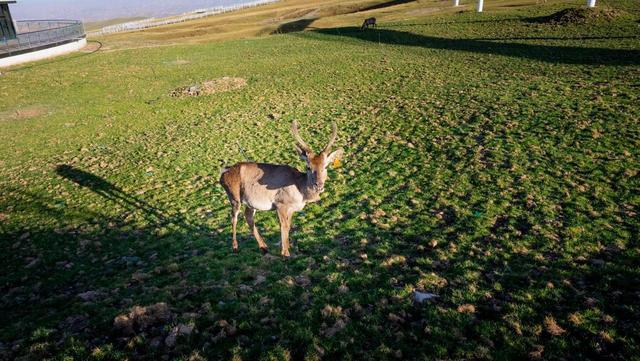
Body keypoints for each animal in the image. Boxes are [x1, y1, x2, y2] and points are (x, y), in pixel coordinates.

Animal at [219, 120, 342, 256]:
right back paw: (235, 247)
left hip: (250, 202)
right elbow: (284, 226)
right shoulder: (280, 203)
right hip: (234, 196)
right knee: (233, 217)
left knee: (248, 216)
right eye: (308, 167)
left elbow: (288, 226)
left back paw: (264, 247)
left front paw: (287, 249)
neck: (301, 192)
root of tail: (223, 173)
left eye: (325, 166)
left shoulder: (292, 208)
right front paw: (285, 252)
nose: (318, 185)